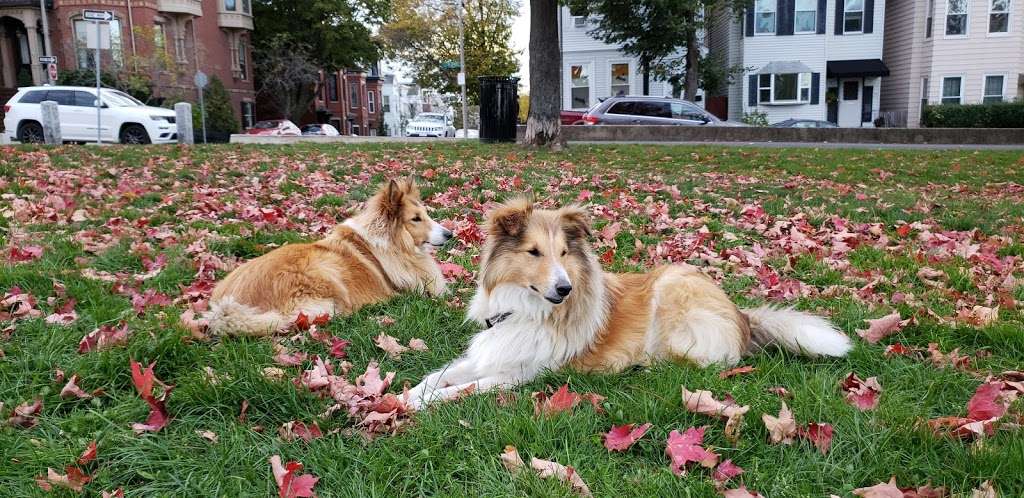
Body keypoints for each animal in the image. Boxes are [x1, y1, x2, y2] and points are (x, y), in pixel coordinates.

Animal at [205, 177, 450, 336]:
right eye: (416, 219)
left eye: (426, 214)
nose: (450, 234)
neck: (391, 242)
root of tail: (224, 310)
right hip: (325, 272)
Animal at [407, 198, 847, 407]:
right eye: (533, 252)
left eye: (563, 252)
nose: (565, 289)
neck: (526, 308)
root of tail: (742, 317)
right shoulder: (490, 350)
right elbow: (439, 376)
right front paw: (406, 395)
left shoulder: (519, 373)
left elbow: (461, 390)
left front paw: (422, 405)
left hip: (672, 289)